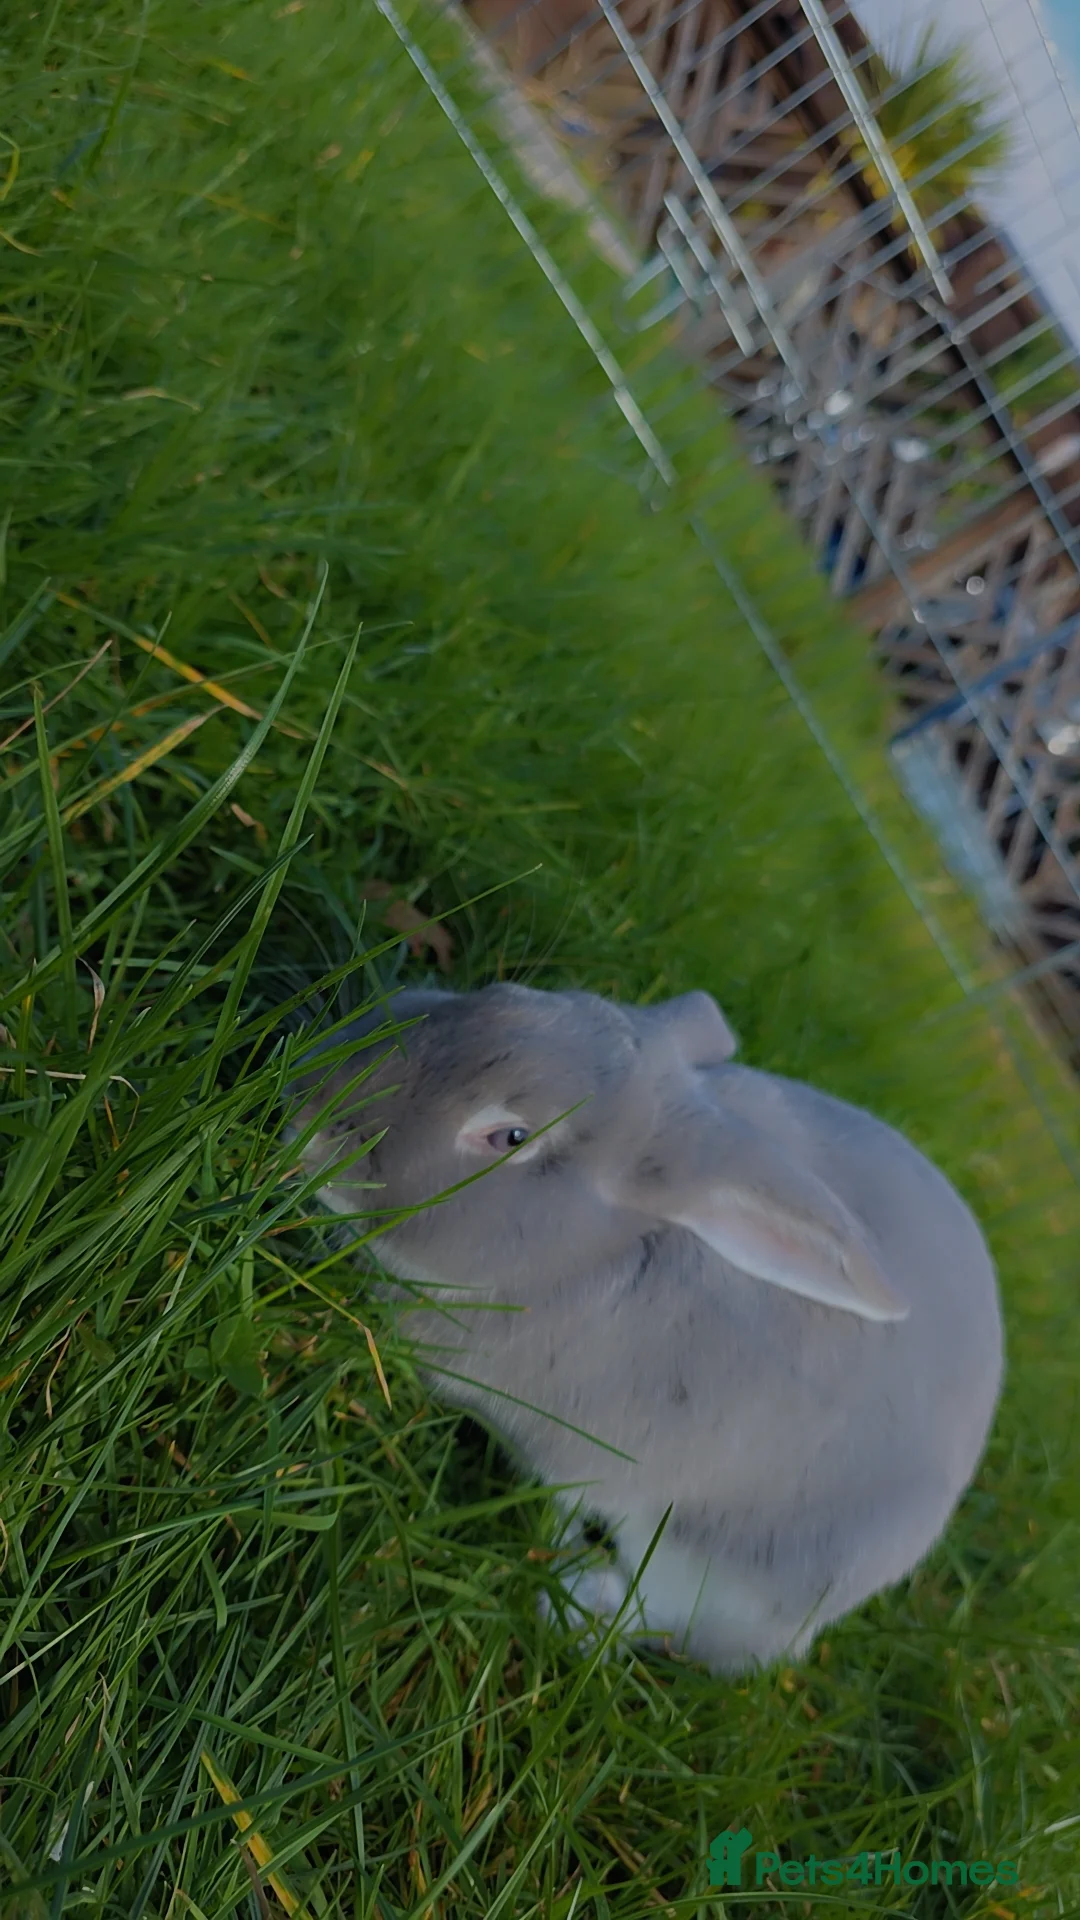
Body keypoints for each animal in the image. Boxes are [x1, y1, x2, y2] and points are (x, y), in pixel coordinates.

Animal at [285, 981, 1004, 1675]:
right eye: (492, 994)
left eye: (511, 1138)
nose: (305, 1111)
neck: (605, 1258)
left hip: (725, 1568)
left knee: (665, 1616)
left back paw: (575, 1602)